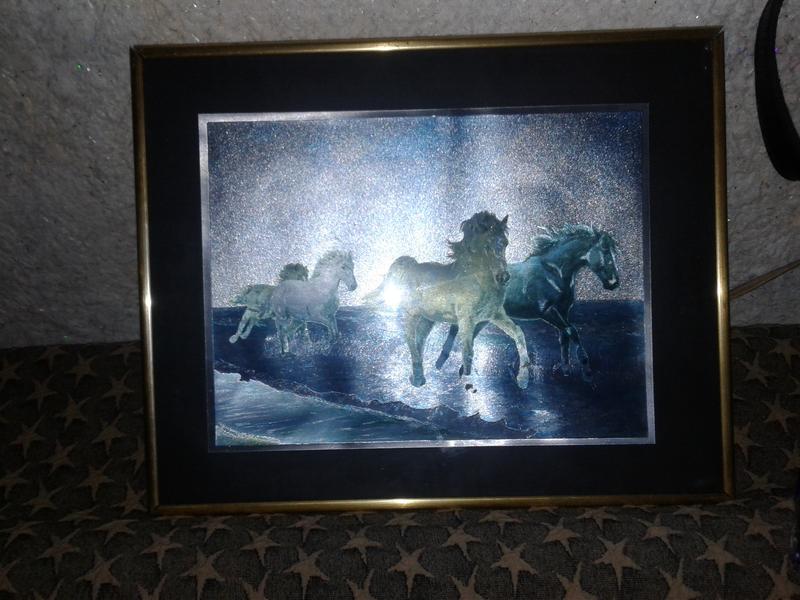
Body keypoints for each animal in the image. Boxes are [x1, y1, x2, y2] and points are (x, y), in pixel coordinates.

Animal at [368, 211, 531, 389]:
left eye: (505, 243)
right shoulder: (466, 319)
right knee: (410, 338)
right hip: (412, 313)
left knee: (419, 340)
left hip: (427, 318)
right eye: (487, 245)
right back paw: (417, 378)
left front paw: (523, 380)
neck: (478, 280)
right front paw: (467, 380)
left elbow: (518, 333)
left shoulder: (494, 316)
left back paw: (418, 377)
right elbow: (467, 350)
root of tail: (410, 267)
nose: (504, 277)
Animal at [435, 224, 620, 381]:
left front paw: (566, 370)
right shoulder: (546, 312)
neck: (554, 273)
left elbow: (564, 337)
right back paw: (443, 364)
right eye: (605, 252)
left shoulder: (563, 311)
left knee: (466, 334)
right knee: (456, 331)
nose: (614, 283)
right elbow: (571, 331)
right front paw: (586, 370)